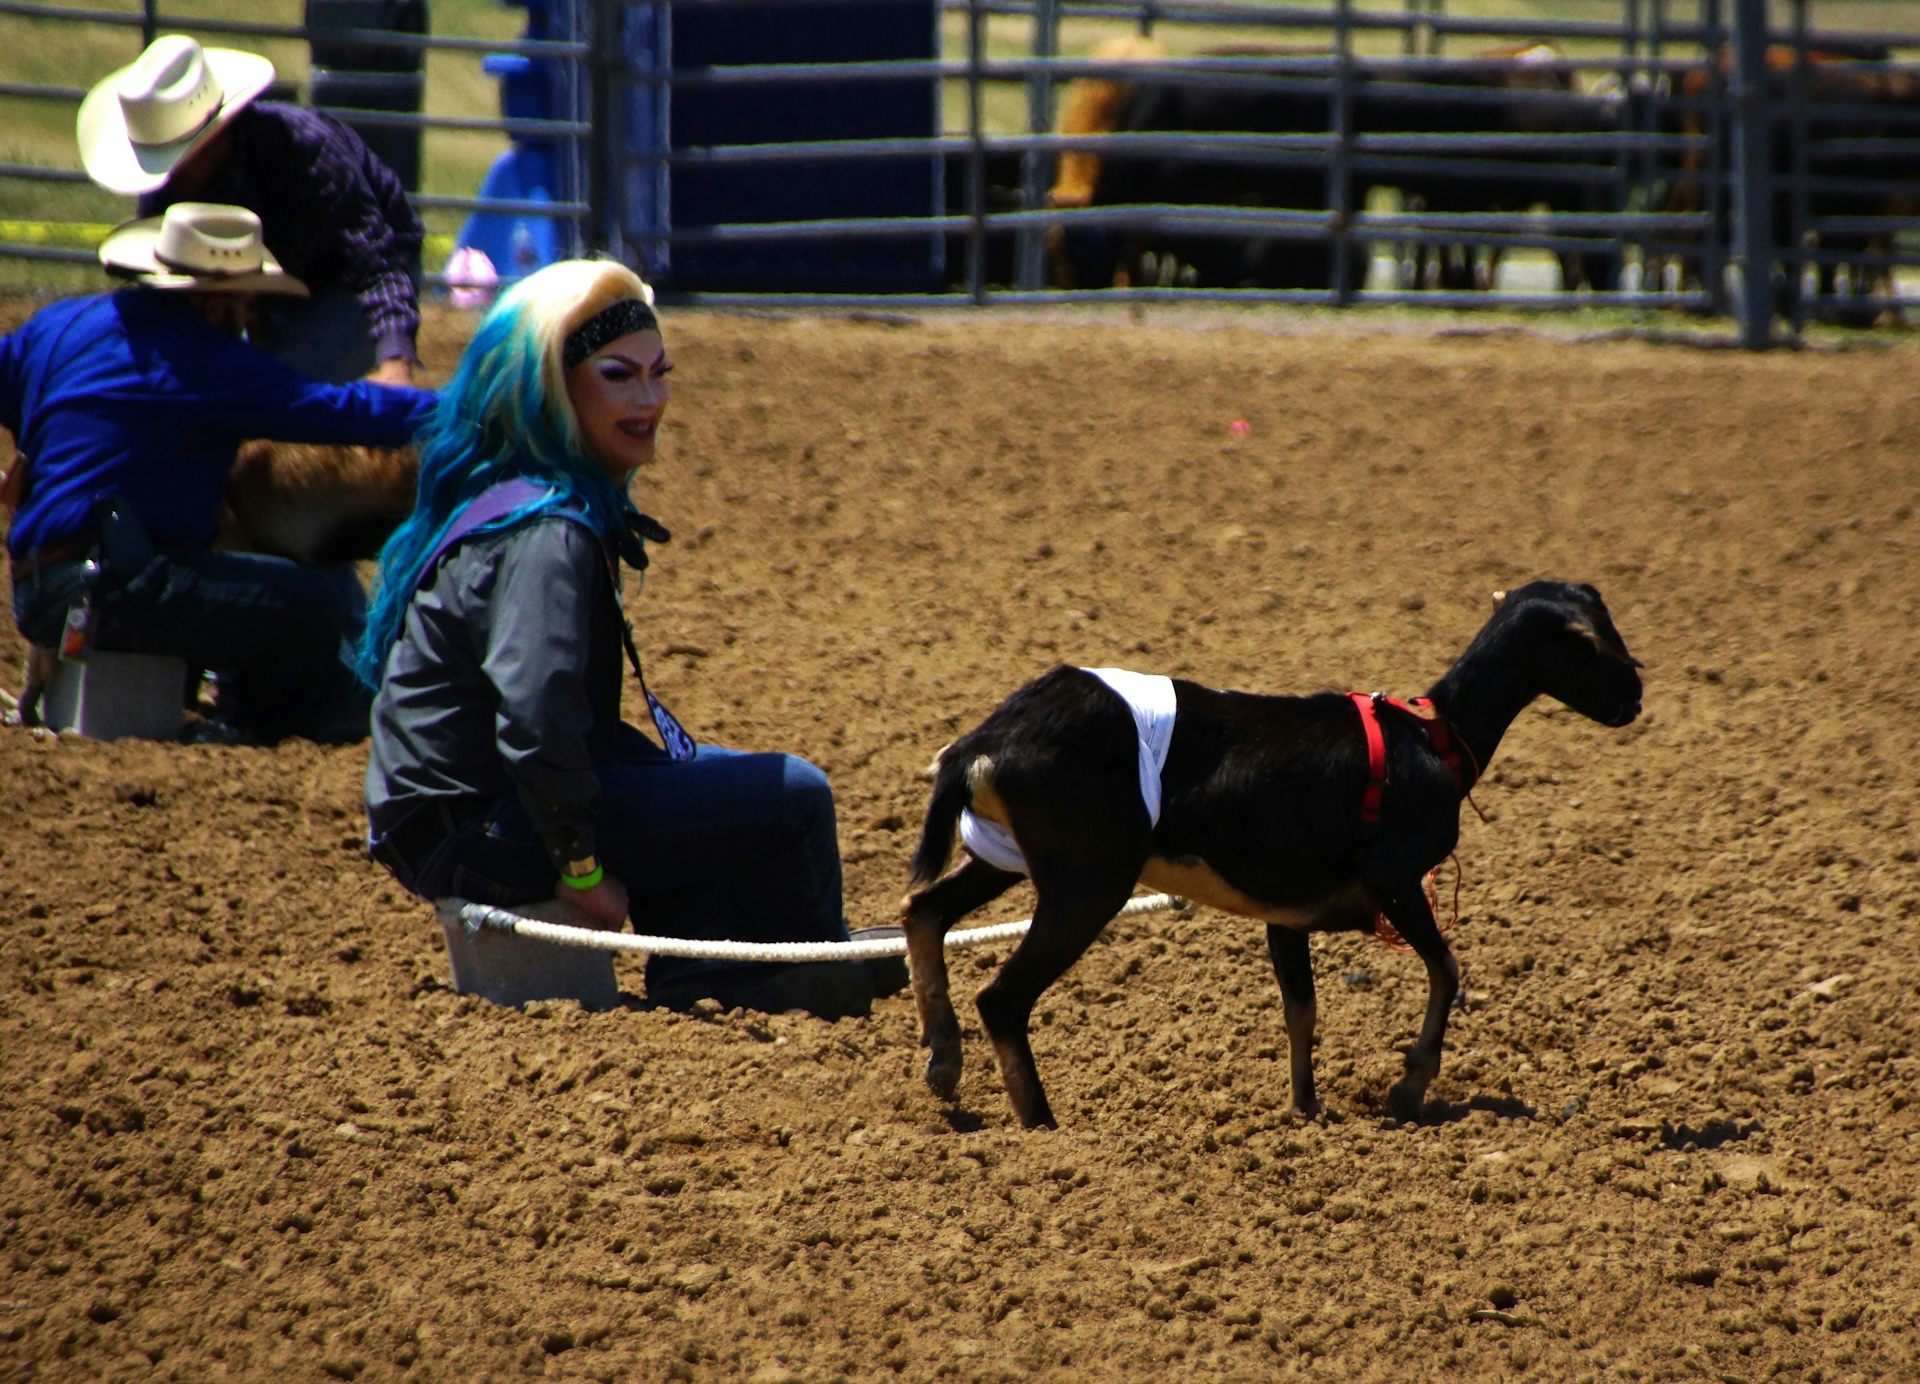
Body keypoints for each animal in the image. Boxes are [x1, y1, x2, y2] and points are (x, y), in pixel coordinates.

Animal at [901, 580, 1643, 1129]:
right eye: (1595, 646)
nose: (1635, 699)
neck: (1433, 737)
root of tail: (982, 742)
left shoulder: (1286, 916)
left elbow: (1301, 1009)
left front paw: (1306, 1109)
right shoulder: (1396, 880)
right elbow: (1446, 969)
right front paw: (1408, 1089)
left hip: (1012, 856)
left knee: (923, 910)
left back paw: (944, 1059)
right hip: (1089, 880)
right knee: (1001, 997)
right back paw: (1041, 1126)